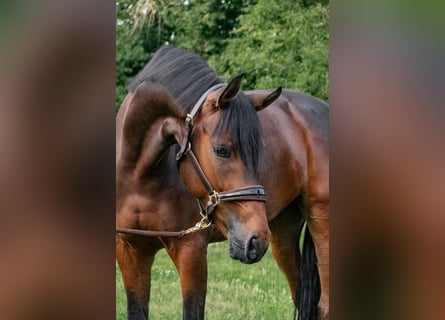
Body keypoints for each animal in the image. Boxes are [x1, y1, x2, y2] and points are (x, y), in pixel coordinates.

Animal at [116, 45, 328, 320]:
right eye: (221, 150)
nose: (255, 239)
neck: (139, 175)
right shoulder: (130, 251)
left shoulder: (191, 251)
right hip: (283, 232)